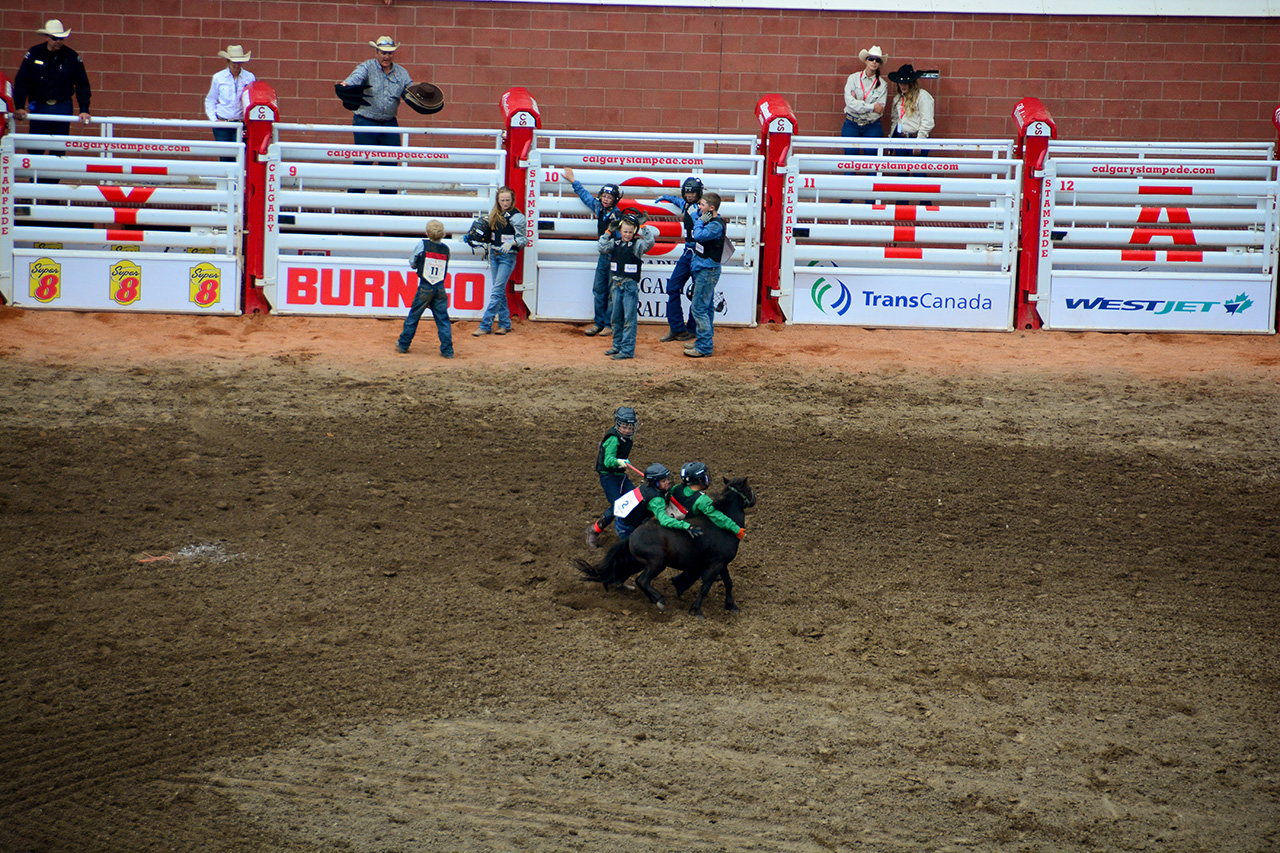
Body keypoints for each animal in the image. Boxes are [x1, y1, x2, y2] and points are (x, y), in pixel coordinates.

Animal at [576, 473, 752, 614]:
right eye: (749, 488)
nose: (754, 498)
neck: (722, 527)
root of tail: (632, 536)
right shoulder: (716, 564)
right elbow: (706, 586)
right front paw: (696, 610)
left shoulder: (722, 563)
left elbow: (728, 583)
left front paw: (731, 605)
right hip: (657, 562)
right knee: (642, 580)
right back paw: (659, 600)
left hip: (641, 562)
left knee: (625, 573)